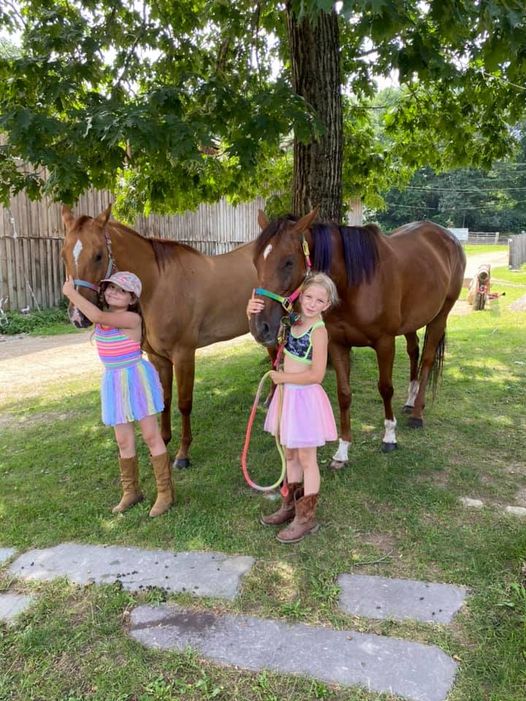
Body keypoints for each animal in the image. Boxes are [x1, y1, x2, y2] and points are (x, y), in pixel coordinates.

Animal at [61, 204, 259, 468]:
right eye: (63, 254)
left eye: (99, 255)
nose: (78, 316)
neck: (159, 286)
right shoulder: (158, 358)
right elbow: (164, 398)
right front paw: (163, 441)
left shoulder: (184, 355)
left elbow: (184, 403)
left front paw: (183, 454)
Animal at [249, 210, 466, 468]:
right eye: (256, 262)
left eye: (289, 262)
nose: (260, 327)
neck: (354, 283)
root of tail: (447, 237)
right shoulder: (337, 344)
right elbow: (344, 394)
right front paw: (342, 451)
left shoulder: (385, 342)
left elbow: (385, 388)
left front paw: (389, 437)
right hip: (411, 322)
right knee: (414, 351)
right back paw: (410, 400)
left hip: (440, 316)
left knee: (427, 360)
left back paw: (417, 413)